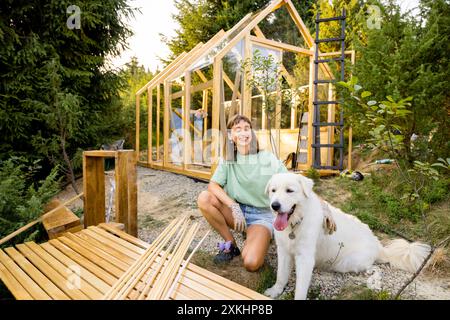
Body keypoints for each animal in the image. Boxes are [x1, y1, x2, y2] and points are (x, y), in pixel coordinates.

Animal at [266, 172, 430, 300]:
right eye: (273, 190)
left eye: (289, 190)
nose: (275, 205)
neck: (295, 223)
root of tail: (378, 245)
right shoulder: (283, 251)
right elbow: (281, 275)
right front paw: (275, 291)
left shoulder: (305, 258)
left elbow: (300, 288)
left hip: (346, 263)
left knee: (375, 267)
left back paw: (372, 277)